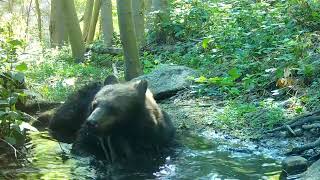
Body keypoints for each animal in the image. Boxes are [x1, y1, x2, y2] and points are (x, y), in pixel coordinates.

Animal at [48, 75, 176, 164]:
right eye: (94, 104)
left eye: (113, 107)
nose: (91, 122)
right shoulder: (92, 136)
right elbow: (82, 145)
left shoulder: (157, 138)